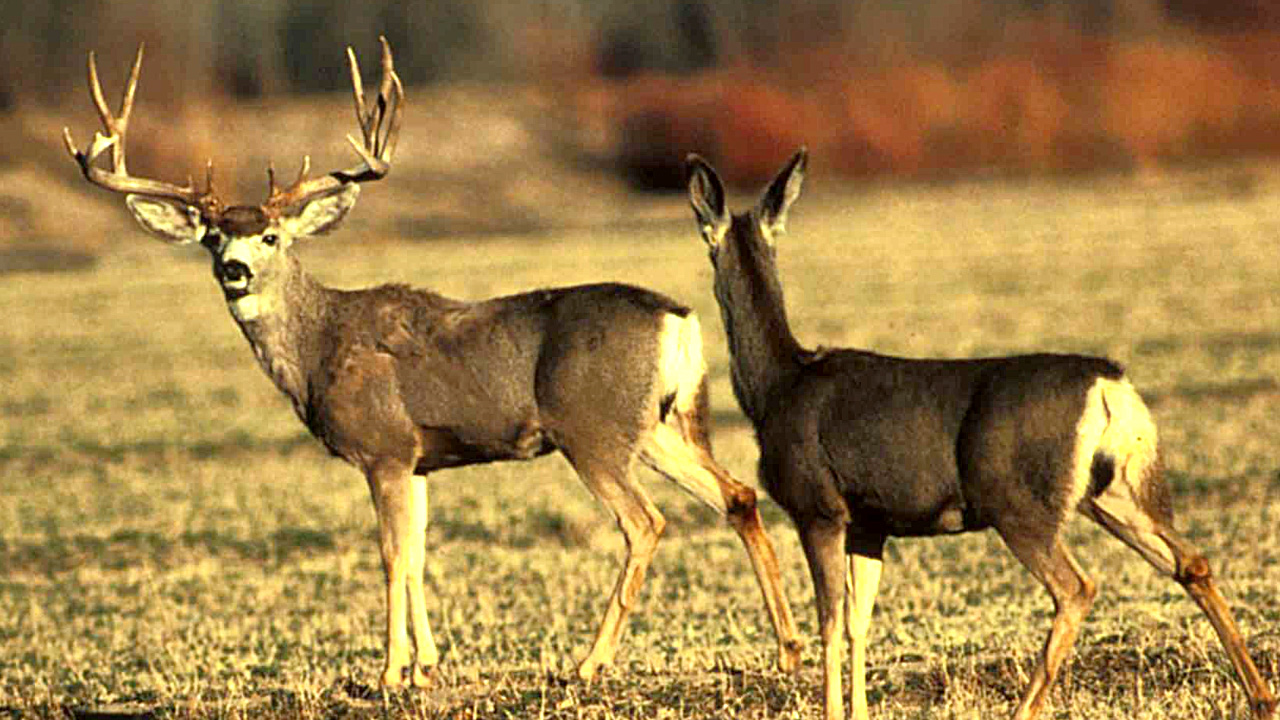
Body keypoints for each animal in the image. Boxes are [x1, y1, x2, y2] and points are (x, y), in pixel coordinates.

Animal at [62, 38, 803, 690]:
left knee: (645, 523)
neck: (319, 347)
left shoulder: (384, 446)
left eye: (270, 235)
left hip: (592, 429)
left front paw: (389, 673)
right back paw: (788, 648)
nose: (235, 271)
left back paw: (589, 663)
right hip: (659, 425)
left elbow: (391, 555)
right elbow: (419, 555)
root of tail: (676, 320)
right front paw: (427, 666)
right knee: (737, 495)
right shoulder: (420, 459)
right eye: (213, 237)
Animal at [685, 148, 1277, 720]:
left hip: (1017, 500)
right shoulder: (870, 522)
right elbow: (859, 623)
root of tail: (1110, 385)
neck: (777, 386)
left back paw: (1025, 708)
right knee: (1190, 561)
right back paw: (1261, 697)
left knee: (1077, 588)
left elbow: (830, 623)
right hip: (1112, 490)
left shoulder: (818, 505)